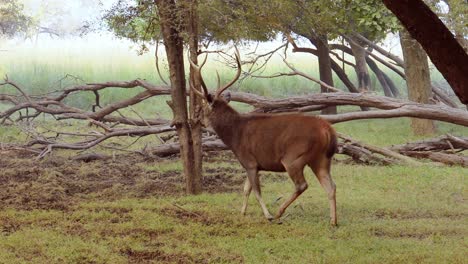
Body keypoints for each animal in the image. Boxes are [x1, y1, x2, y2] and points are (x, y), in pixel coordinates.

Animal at [189, 50, 336, 226]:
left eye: (203, 108)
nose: (195, 120)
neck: (234, 136)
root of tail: (327, 129)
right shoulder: (251, 164)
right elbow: (246, 189)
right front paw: (242, 212)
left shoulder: (249, 161)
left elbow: (256, 191)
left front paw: (268, 215)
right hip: (321, 158)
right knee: (331, 186)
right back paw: (333, 221)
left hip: (294, 157)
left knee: (302, 185)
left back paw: (279, 212)